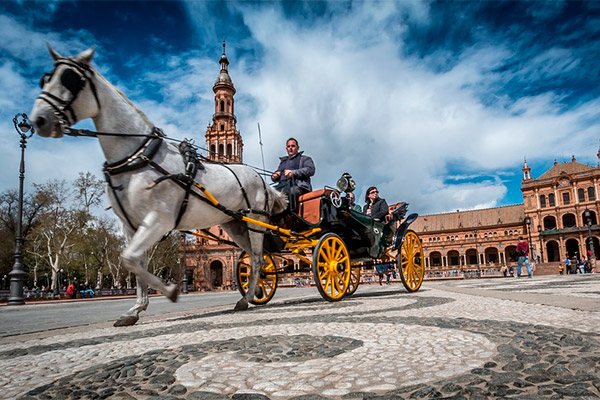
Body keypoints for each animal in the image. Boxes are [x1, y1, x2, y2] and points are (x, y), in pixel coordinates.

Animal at [29, 44, 288, 324]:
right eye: (45, 79)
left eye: (70, 79)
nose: (39, 119)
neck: (138, 156)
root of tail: (261, 181)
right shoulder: (131, 226)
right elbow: (134, 262)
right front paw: (136, 308)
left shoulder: (159, 219)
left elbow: (131, 259)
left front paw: (170, 291)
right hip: (236, 225)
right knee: (255, 257)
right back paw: (251, 294)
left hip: (255, 222)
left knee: (258, 258)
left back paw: (246, 297)